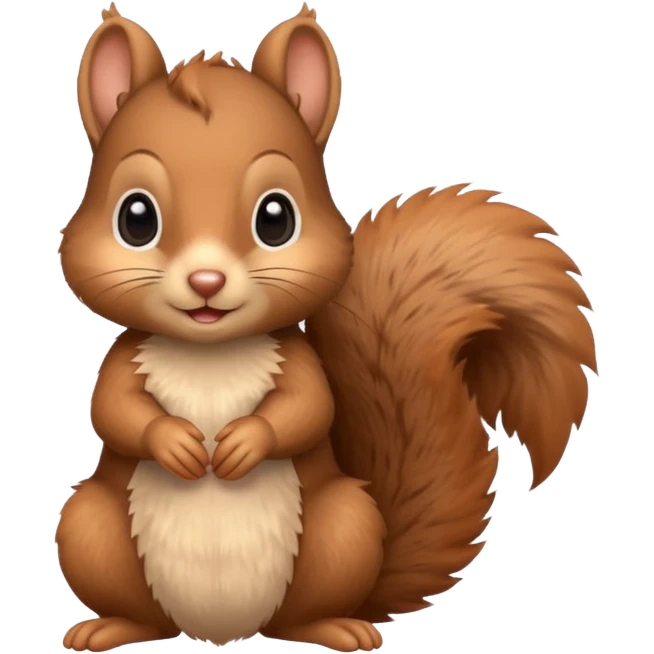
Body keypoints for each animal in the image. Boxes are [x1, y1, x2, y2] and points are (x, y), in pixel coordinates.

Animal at [56, 3, 598, 653]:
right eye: (134, 218)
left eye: (277, 217)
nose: (207, 281)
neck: (210, 353)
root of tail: (220, 631)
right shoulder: (122, 360)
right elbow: (113, 409)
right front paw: (177, 442)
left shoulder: (300, 364)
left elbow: (309, 408)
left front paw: (241, 443)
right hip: (90, 528)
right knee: (142, 609)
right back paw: (111, 626)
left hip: (345, 527)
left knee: (301, 614)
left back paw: (335, 627)